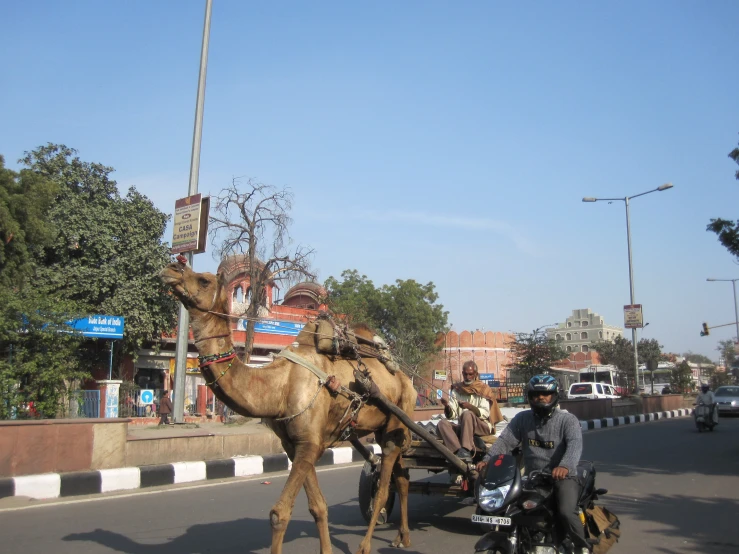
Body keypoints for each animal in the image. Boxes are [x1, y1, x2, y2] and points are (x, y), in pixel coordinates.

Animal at [160, 260, 420, 552]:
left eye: (204, 280)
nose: (171, 269)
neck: (279, 386)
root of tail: (407, 380)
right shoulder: (294, 444)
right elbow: (318, 506)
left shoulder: (309, 442)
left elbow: (279, 513)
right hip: (386, 427)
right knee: (402, 478)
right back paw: (402, 537)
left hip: (400, 416)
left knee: (385, 485)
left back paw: (365, 545)